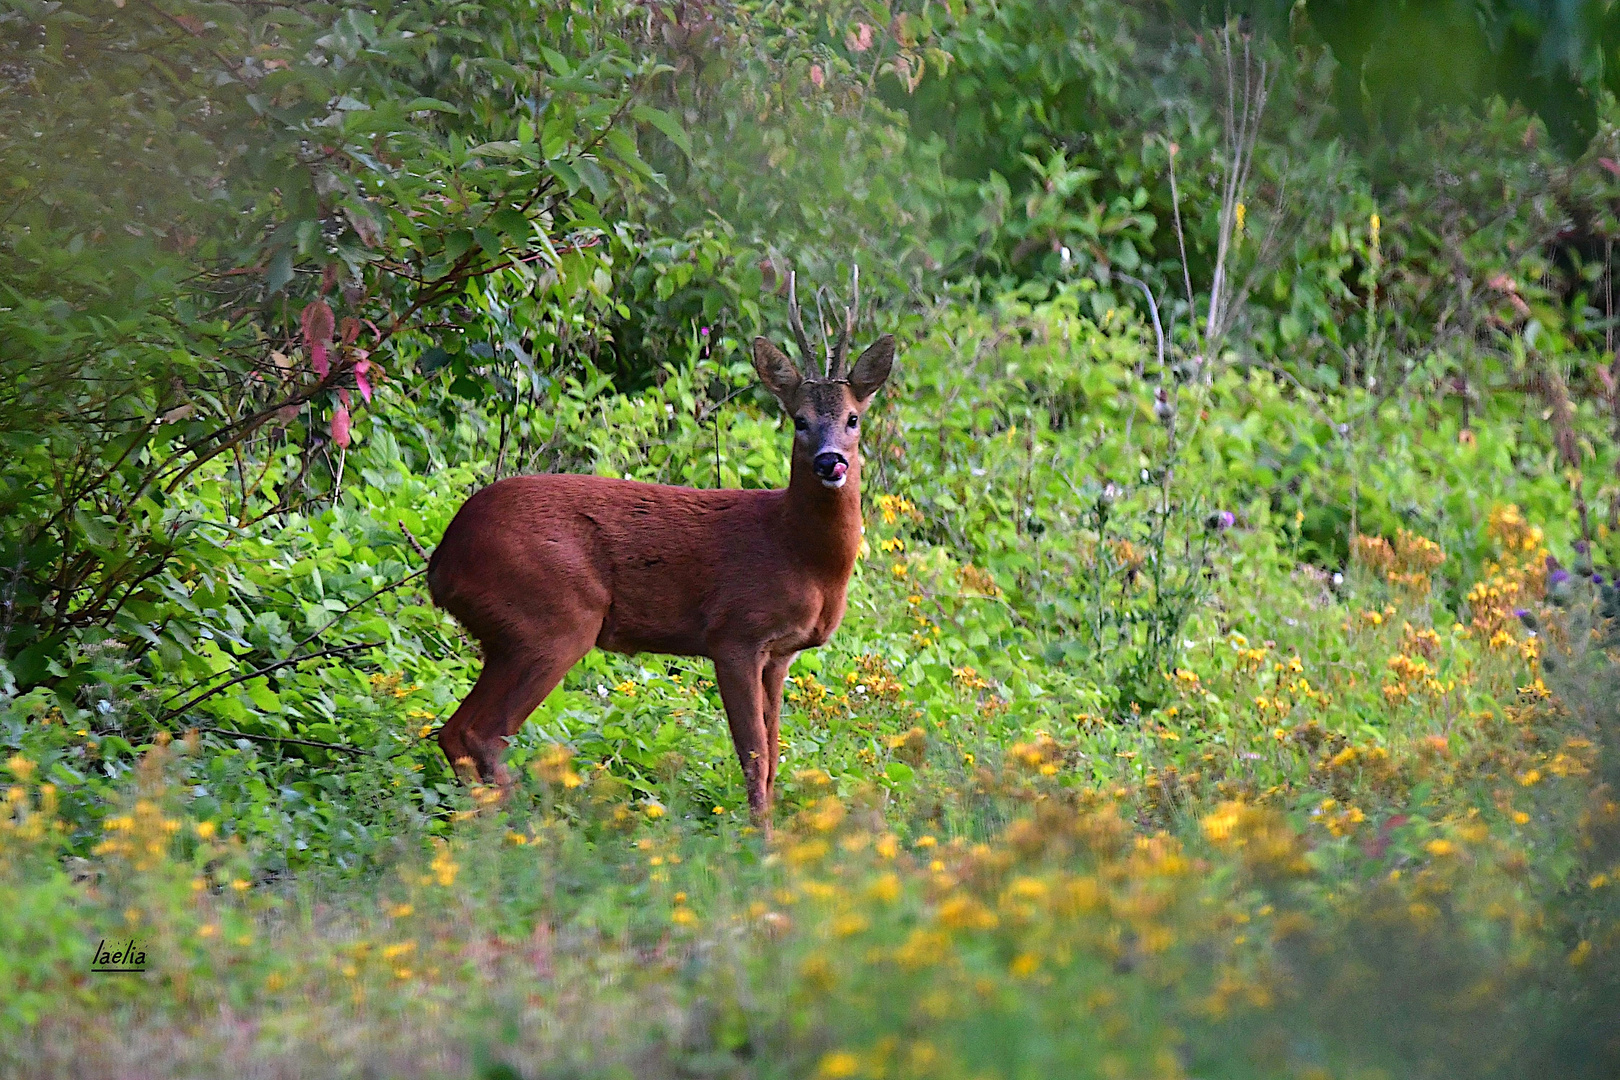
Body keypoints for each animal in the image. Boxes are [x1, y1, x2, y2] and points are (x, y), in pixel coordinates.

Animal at [424, 275, 894, 835]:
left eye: (853, 418)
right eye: (798, 420)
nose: (831, 461)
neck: (799, 553)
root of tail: (442, 561)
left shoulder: (781, 654)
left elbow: (775, 754)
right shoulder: (733, 633)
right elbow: (753, 752)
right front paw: (761, 840)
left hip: (509, 634)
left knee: (454, 732)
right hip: (551, 621)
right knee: (479, 734)